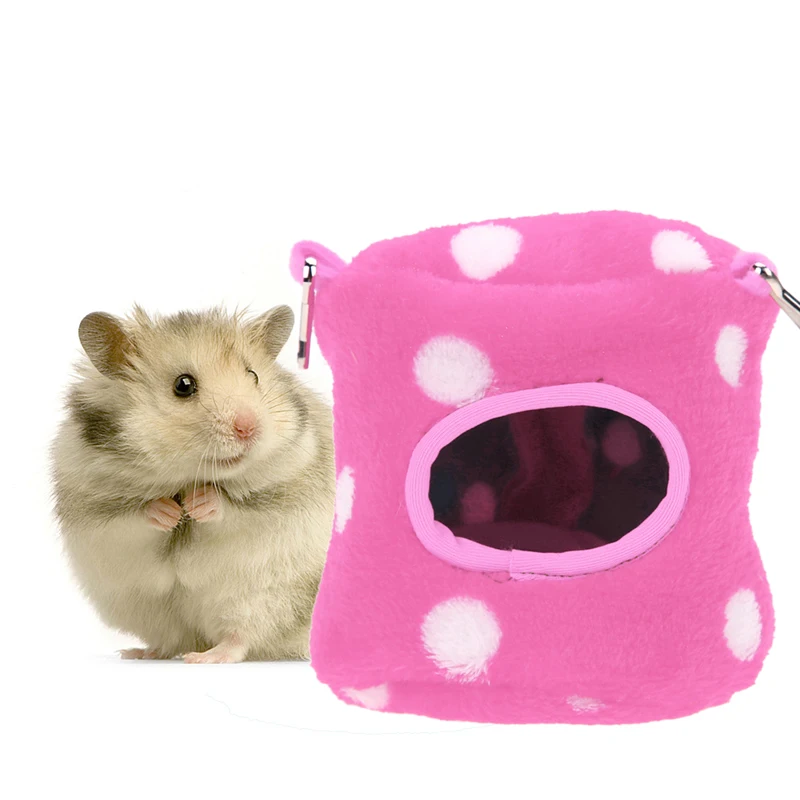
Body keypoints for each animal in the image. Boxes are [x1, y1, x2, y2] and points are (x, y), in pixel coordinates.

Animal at [51, 305, 334, 663]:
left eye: (254, 375)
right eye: (183, 385)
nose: (249, 428)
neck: (187, 477)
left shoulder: (283, 493)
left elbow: (232, 509)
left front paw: (198, 504)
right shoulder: (94, 509)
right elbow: (134, 516)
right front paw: (170, 512)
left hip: (264, 598)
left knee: (241, 637)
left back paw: (205, 657)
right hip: (150, 611)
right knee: (172, 640)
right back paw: (138, 652)